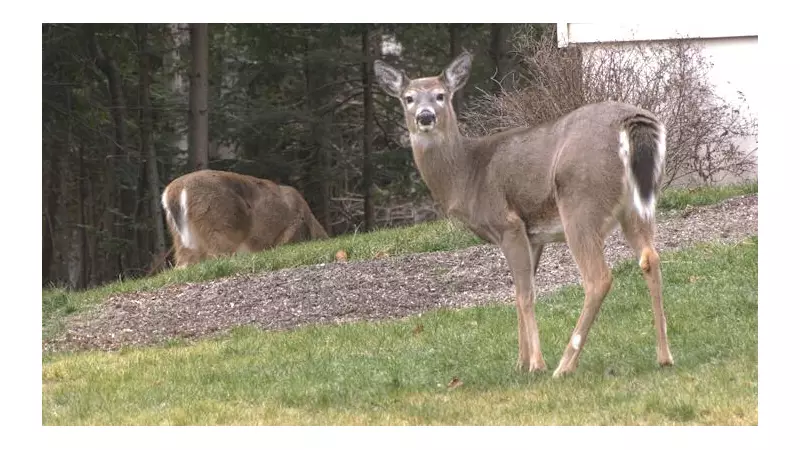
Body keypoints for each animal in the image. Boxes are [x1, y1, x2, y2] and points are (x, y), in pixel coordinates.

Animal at [374, 51, 674, 377]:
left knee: (599, 278)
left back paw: (564, 366)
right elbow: (519, 293)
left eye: (441, 95)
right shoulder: (534, 236)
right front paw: (520, 362)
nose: (425, 116)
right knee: (650, 258)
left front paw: (536, 364)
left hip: (580, 202)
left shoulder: (508, 224)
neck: (467, 176)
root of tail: (631, 122)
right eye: (408, 98)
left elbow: (525, 294)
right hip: (638, 205)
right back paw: (664, 356)